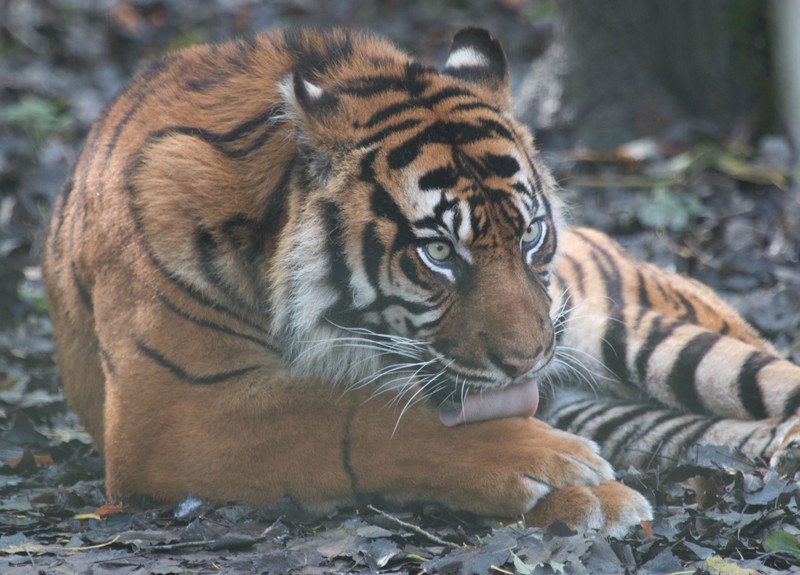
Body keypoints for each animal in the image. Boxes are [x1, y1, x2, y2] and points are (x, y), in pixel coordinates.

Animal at [39, 27, 800, 540]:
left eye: (530, 234)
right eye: (438, 252)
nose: (528, 360)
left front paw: (578, 484)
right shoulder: (170, 411)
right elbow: (363, 416)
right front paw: (567, 473)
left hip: (636, 330)